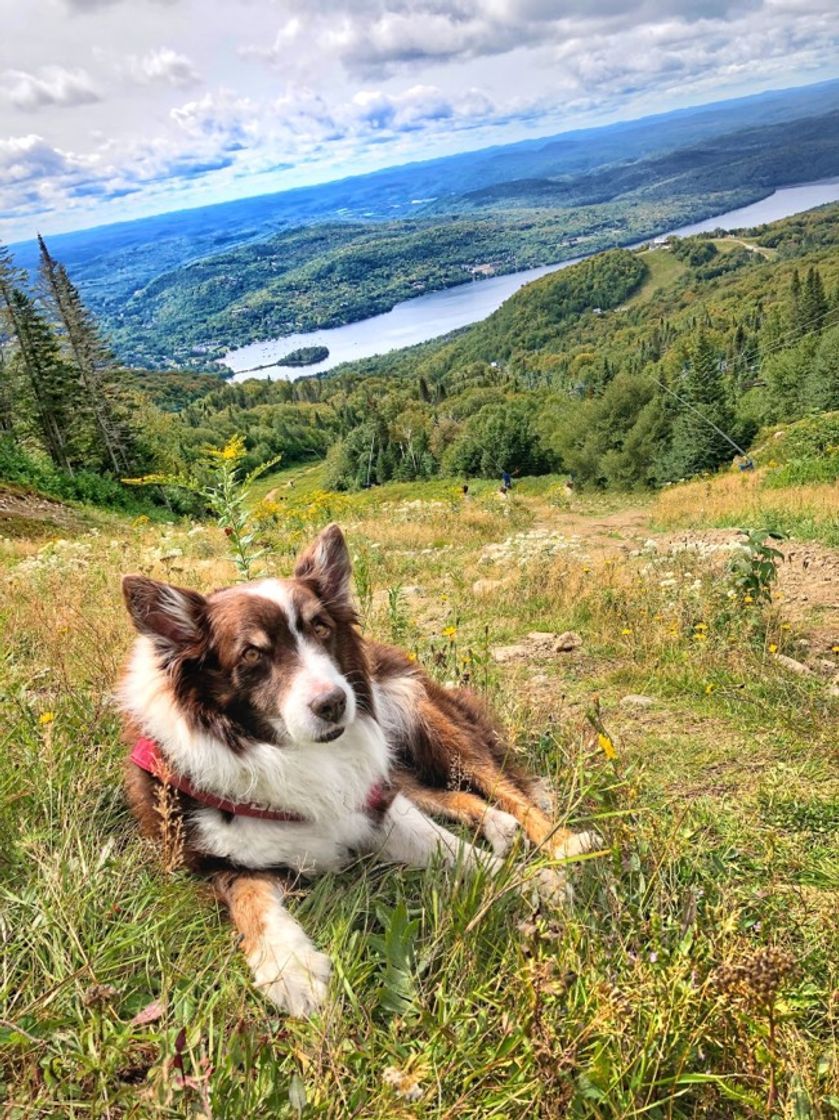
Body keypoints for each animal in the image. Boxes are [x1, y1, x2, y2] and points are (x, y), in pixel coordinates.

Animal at [120, 521, 600, 1016]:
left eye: (321, 627)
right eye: (252, 654)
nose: (334, 703)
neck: (288, 752)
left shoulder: (374, 806)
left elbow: (458, 851)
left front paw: (532, 880)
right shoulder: (210, 860)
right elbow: (252, 901)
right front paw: (290, 967)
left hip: (424, 716)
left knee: (501, 784)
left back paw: (561, 840)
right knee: (449, 792)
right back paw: (501, 826)